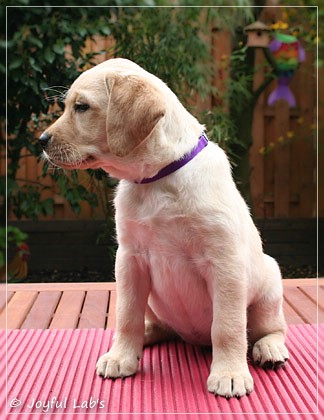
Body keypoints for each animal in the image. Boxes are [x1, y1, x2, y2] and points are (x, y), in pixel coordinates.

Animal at [38, 57, 288, 398]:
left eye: (81, 107)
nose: (41, 141)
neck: (157, 178)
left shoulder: (225, 264)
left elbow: (228, 327)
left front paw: (230, 374)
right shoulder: (130, 259)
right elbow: (126, 315)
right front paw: (121, 356)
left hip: (269, 283)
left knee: (270, 328)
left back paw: (270, 349)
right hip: (155, 304)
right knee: (152, 324)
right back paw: (135, 339)